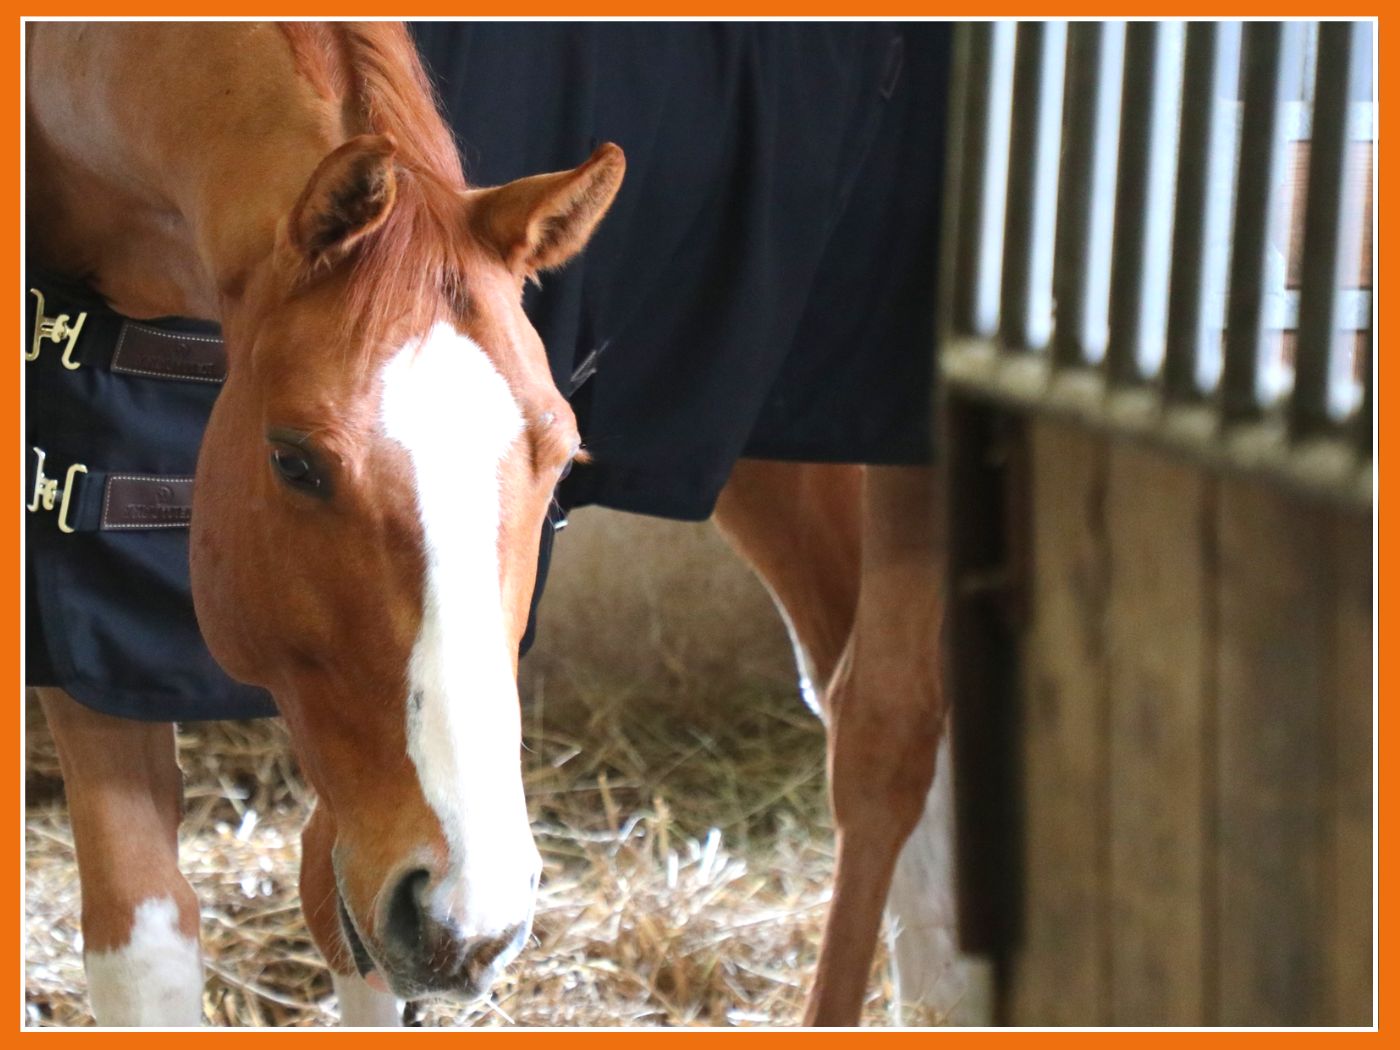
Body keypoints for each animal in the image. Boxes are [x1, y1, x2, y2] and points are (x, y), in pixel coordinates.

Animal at [26, 21, 971, 1027]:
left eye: (562, 458)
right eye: (294, 461)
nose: (475, 918)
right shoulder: (87, 619)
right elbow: (145, 943)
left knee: (888, 729)